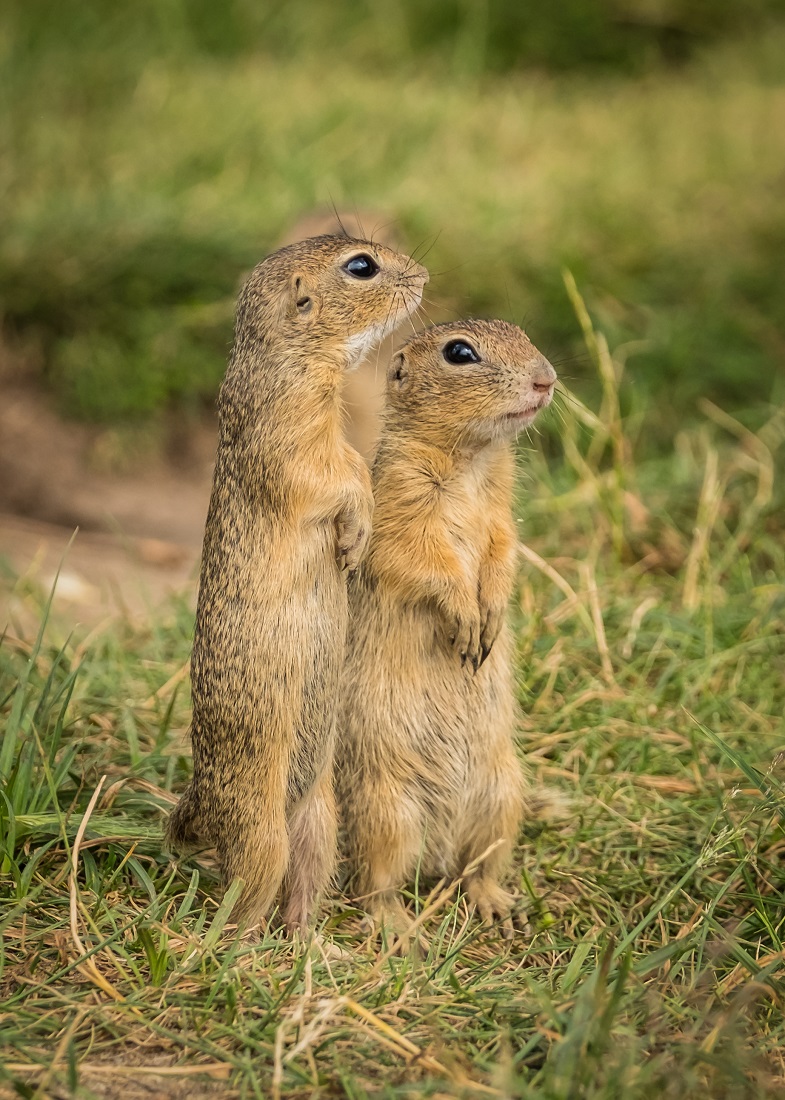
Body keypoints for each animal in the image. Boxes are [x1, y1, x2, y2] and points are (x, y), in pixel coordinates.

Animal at [166, 229, 430, 928]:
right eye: (361, 266)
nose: (422, 275)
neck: (291, 360)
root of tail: (202, 805)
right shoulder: (291, 442)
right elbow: (341, 476)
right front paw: (355, 533)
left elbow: (356, 467)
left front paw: (354, 545)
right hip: (261, 831)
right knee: (245, 902)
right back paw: (229, 947)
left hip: (318, 816)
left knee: (299, 897)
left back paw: (316, 942)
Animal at [336, 319, 556, 937]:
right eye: (460, 353)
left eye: (522, 332)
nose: (546, 378)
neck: (473, 461)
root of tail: (436, 846)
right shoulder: (401, 505)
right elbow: (425, 562)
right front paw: (466, 619)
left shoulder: (504, 516)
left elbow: (504, 555)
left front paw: (491, 618)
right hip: (387, 812)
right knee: (376, 883)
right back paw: (398, 927)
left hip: (502, 798)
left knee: (473, 868)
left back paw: (496, 904)